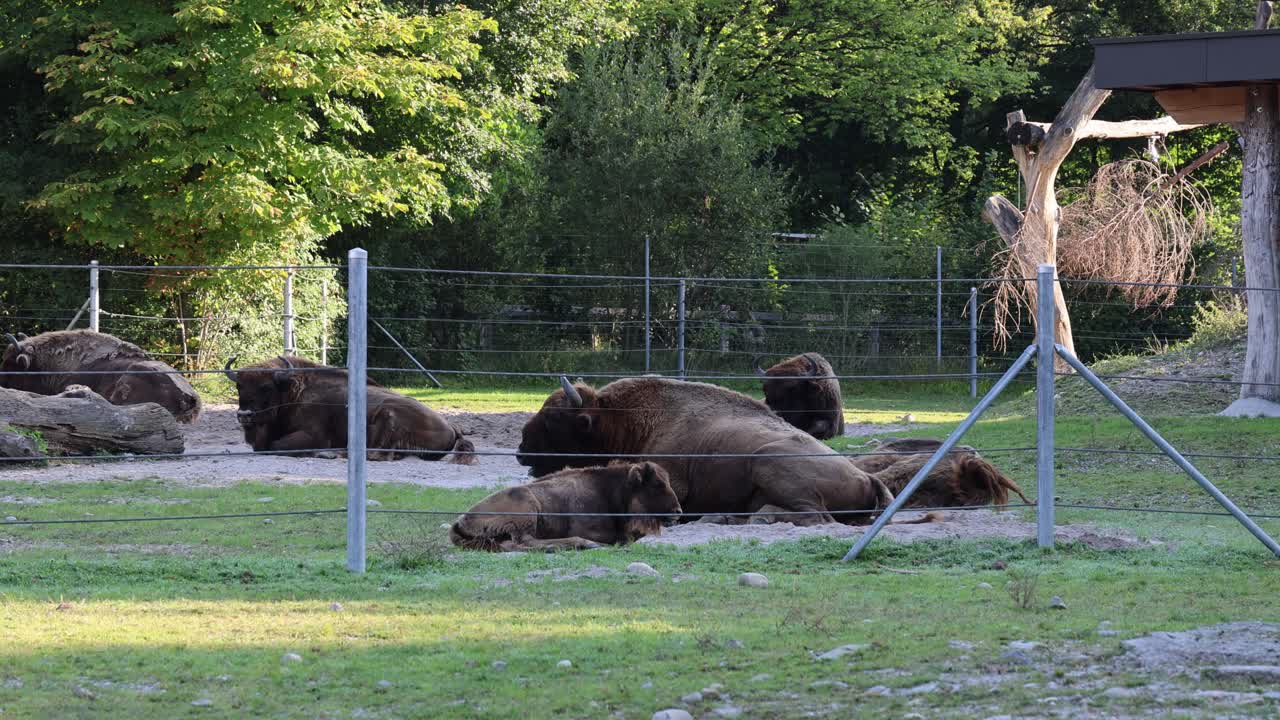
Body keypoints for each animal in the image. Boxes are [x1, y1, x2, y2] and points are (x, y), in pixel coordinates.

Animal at [225, 355, 476, 463]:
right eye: (239, 386)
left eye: (266, 387)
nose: (244, 415)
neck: (293, 390)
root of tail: (452, 427)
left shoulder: (312, 436)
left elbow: (273, 447)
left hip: (387, 414)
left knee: (376, 455)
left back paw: (330, 453)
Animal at [450, 461, 682, 551]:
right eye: (657, 484)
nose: (677, 512)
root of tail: (460, 521)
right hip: (527, 509)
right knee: (524, 541)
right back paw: (576, 545)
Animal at [516, 376, 892, 525]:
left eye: (552, 418)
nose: (521, 449)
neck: (625, 420)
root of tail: (865, 476)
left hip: (768, 462)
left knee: (815, 516)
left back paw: (751, 517)